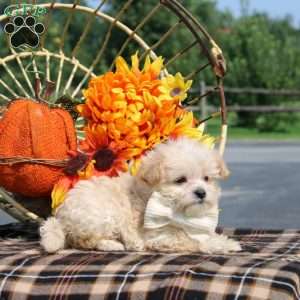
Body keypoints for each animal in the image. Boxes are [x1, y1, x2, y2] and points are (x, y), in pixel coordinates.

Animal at [40, 138, 241, 253]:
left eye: (207, 178)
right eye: (180, 180)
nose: (201, 192)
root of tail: (61, 217)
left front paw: (222, 241)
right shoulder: (159, 235)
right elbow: (191, 241)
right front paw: (221, 245)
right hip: (101, 216)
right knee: (82, 240)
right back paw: (113, 245)